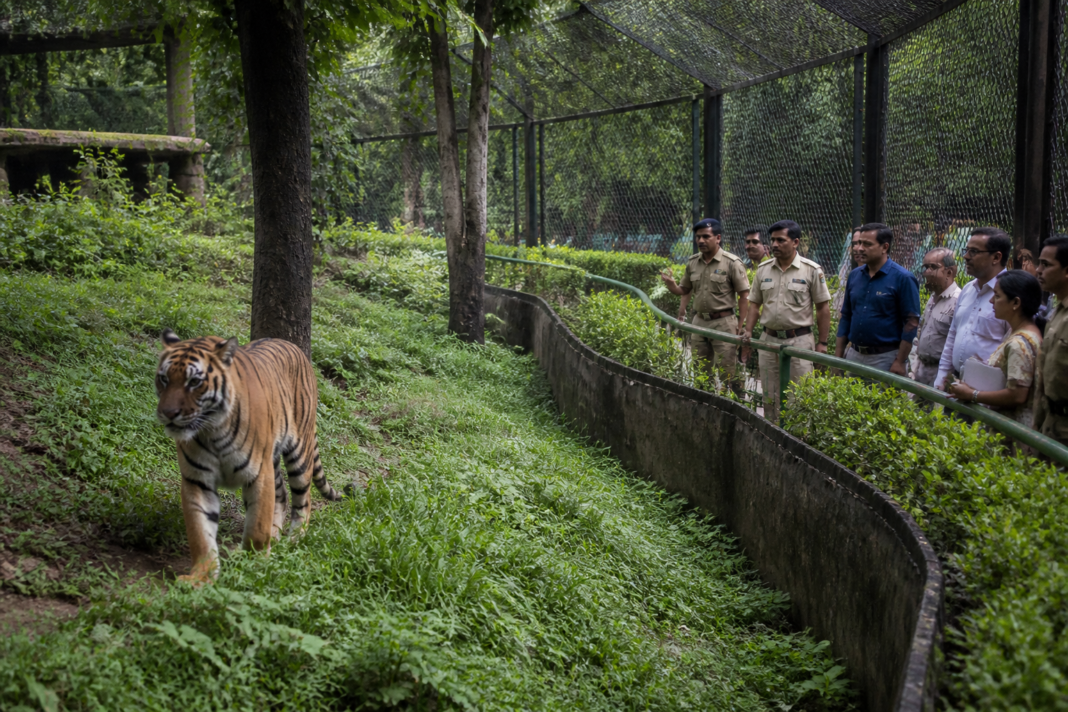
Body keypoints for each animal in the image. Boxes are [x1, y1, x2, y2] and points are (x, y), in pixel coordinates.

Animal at [155, 329, 342, 585]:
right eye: (164, 378)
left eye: (194, 382)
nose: (168, 413)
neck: (212, 430)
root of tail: (293, 347)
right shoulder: (197, 480)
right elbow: (200, 532)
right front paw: (200, 577)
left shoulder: (258, 474)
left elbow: (256, 526)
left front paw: (254, 566)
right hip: (273, 460)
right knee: (281, 495)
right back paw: (276, 535)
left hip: (298, 453)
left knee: (304, 498)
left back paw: (295, 538)